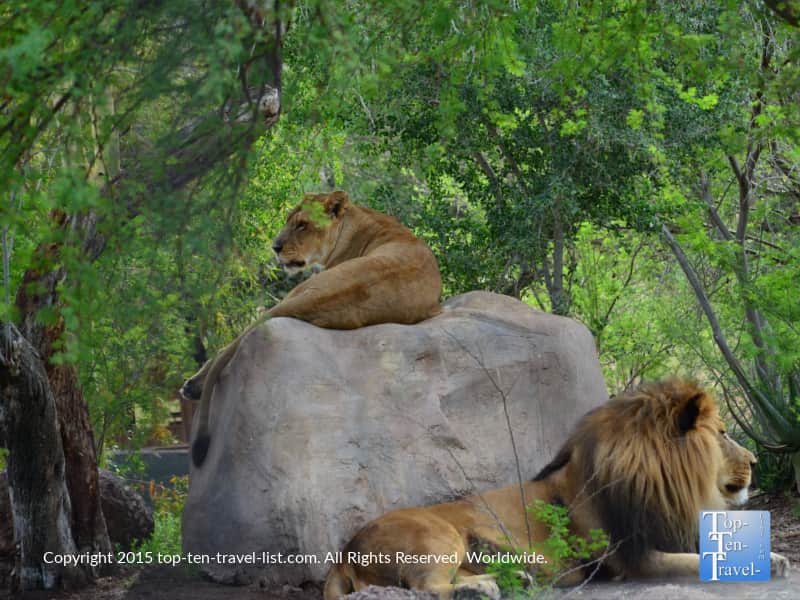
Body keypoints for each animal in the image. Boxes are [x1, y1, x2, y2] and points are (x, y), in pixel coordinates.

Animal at [182, 190, 442, 467]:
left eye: (302, 225)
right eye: (289, 221)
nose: (275, 248)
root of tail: (329, 292)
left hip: (296, 291)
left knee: (227, 346)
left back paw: (193, 385)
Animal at [323, 380, 790, 599]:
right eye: (724, 433)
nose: (755, 460)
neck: (668, 487)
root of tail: (344, 552)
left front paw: (776, 557)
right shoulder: (632, 558)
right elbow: (692, 563)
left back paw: (510, 580)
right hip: (437, 537)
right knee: (426, 588)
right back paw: (483, 589)